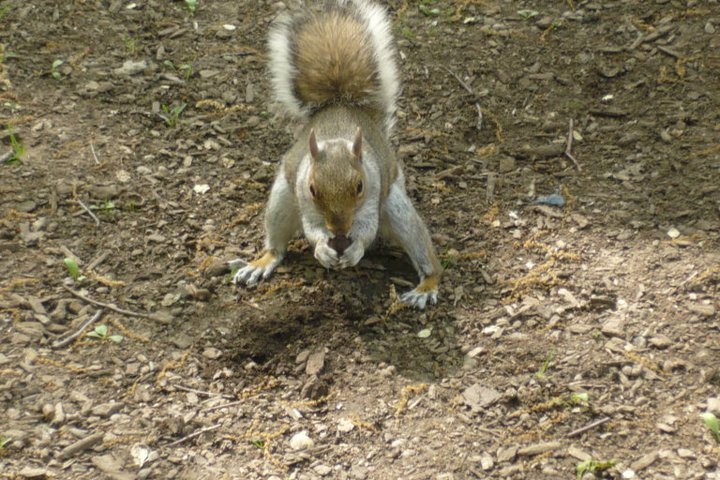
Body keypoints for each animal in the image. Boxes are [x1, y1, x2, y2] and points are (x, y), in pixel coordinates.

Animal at [233, 0, 442, 310]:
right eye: (312, 188)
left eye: (360, 186)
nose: (340, 229)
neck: (336, 142)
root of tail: (341, 104)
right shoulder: (303, 197)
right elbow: (312, 229)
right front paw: (322, 248)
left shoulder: (373, 191)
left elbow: (367, 229)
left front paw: (356, 249)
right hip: (282, 199)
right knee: (276, 246)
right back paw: (262, 262)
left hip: (397, 207)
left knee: (419, 246)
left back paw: (426, 286)